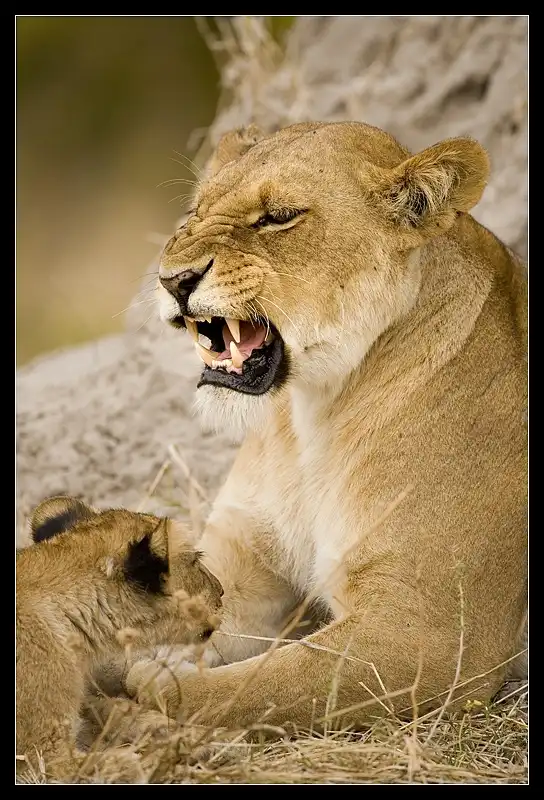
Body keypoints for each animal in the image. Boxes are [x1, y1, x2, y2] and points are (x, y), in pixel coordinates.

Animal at [16, 496, 223, 781]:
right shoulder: (41, 757)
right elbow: (123, 762)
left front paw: (189, 733)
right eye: (195, 561)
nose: (222, 592)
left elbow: (118, 709)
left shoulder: (81, 700)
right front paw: (182, 751)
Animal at [125, 121, 527, 732]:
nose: (174, 281)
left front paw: (150, 693)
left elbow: (266, 683)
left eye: (279, 217)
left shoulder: (435, 637)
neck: (313, 415)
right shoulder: (239, 573)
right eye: (195, 211)